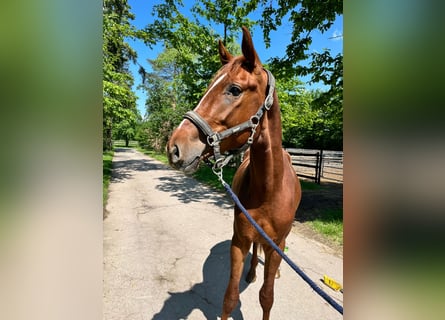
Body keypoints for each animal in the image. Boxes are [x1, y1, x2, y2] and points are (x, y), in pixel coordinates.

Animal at [167, 27, 302, 320]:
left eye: (235, 89)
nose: (174, 148)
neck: (269, 189)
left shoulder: (275, 246)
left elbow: (267, 296)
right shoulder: (239, 241)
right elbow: (229, 298)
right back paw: (251, 274)